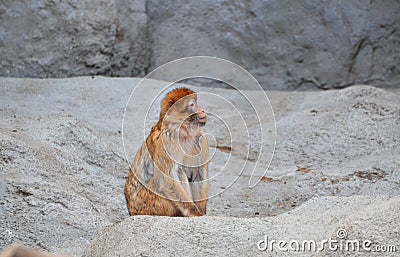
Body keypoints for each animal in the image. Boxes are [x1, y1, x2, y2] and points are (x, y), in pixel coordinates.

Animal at [125, 87, 209, 215]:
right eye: (192, 105)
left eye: (196, 103)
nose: (202, 110)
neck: (182, 132)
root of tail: (131, 210)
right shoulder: (166, 142)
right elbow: (166, 179)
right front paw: (194, 212)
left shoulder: (201, 137)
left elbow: (199, 171)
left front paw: (201, 211)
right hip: (149, 204)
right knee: (178, 171)